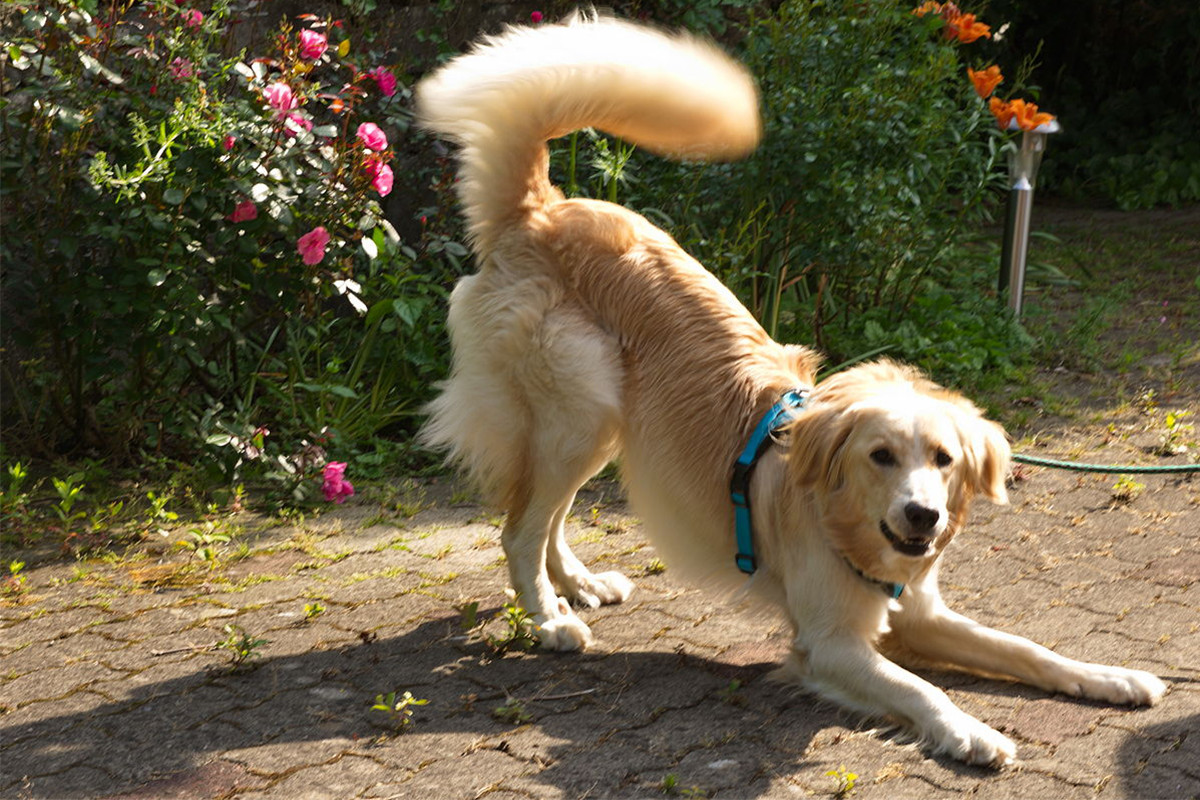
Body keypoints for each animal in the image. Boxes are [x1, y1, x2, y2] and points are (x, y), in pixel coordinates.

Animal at [417, 10, 1166, 762]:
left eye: (944, 460)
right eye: (880, 457)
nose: (923, 516)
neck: (847, 525)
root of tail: (541, 210)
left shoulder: (919, 613)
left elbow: (1025, 647)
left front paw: (1112, 676)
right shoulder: (829, 644)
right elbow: (922, 688)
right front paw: (972, 731)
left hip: (595, 424)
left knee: (546, 516)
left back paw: (579, 584)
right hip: (580, 413)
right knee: (519, 527)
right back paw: (549, 620)